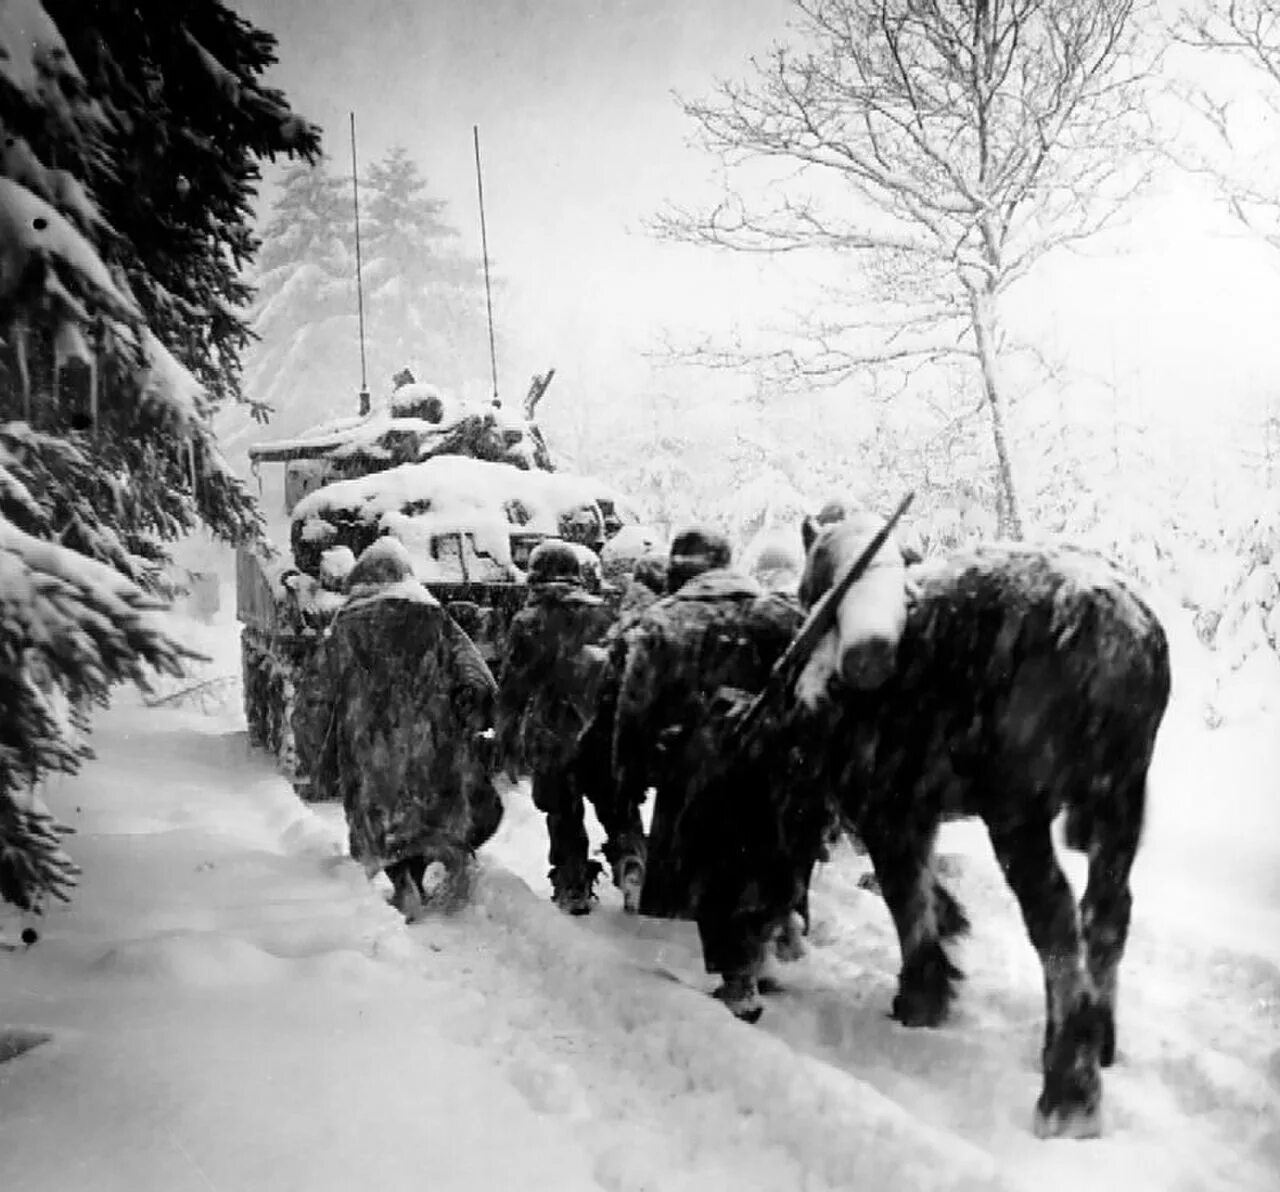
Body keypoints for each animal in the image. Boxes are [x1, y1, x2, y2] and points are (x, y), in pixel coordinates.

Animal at [680, 514, 1172, 1147]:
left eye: (731, 828)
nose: (729, 969)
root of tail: (1120, 634)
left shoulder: (890, 811)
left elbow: (908, 901)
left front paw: (921, 997)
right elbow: (924, 894)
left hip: (1020, 815)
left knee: (1057, 930)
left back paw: (1069, 1094)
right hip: (1119, 805)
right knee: (1106, 916)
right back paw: (1098, 1039)